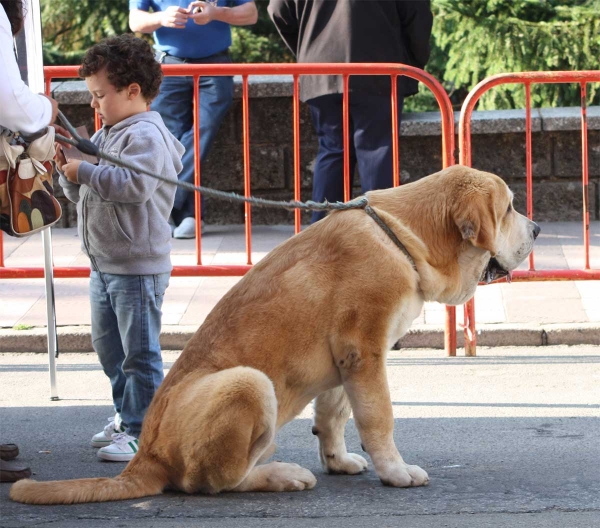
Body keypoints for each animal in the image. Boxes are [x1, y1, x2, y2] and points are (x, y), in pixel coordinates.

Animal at [11, 165, 540, 504]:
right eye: (510, 208)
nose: (535, 228)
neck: (401, 237)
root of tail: (146, 458)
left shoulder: (346, 362)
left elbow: (334, 414)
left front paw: (337, 459)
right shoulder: (366, 352)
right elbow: (378, 419)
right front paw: (395, 471)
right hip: (248, 382)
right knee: (215, 481)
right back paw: (281, 475)